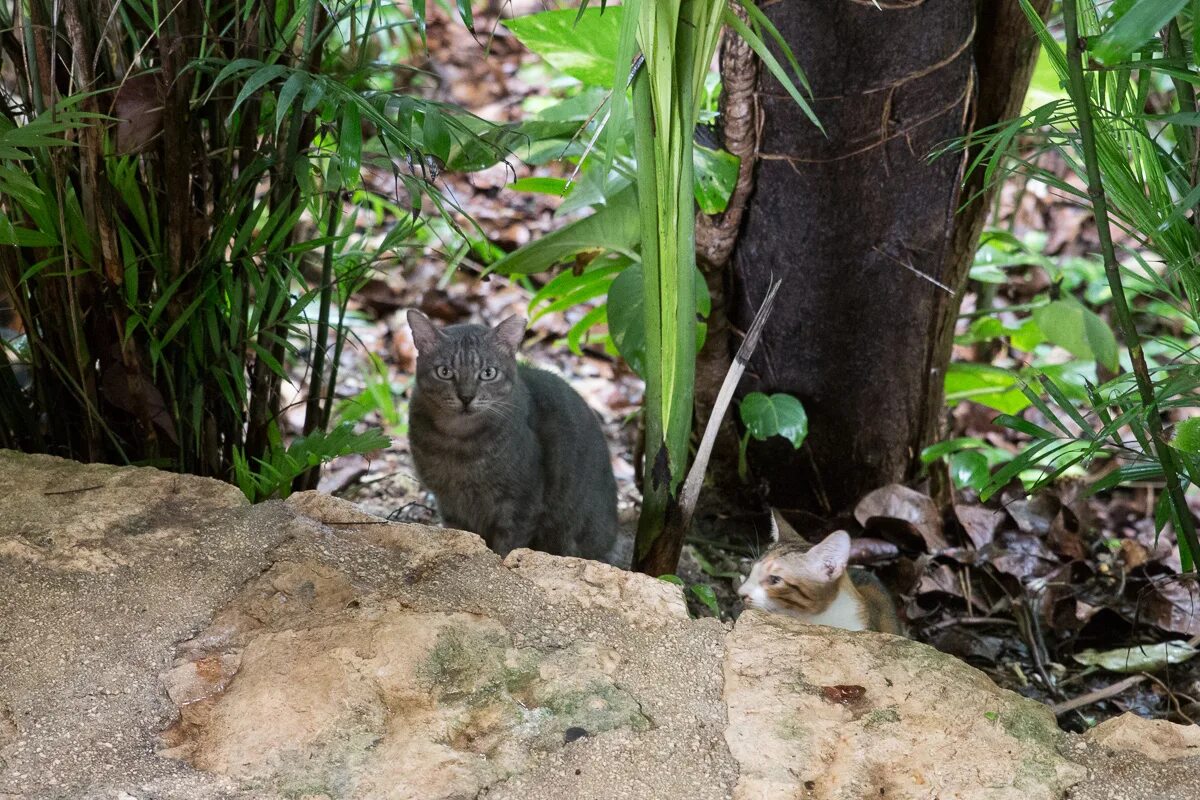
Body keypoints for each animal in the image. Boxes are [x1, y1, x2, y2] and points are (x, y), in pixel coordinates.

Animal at [410, 309, 619, 561]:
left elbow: (507, 547)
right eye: (444, 372)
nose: (466, 397)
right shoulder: (449, 503)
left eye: (488, 373)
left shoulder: (520, 503)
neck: (458, 442)